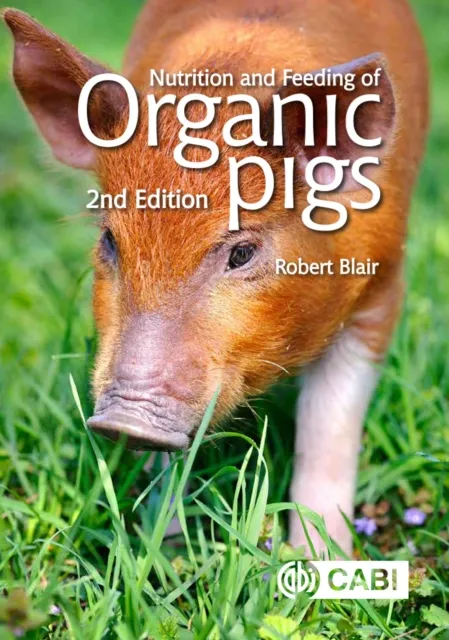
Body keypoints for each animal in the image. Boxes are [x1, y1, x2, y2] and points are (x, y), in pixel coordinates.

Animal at [3, 0, 428, 555]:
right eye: (110, 240)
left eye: (242, 252)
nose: (123, 420)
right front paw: (165, 545)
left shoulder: (381, 287)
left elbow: (328, 428)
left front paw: (315, 561)